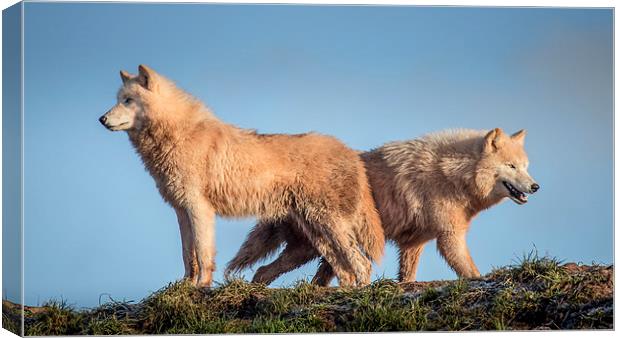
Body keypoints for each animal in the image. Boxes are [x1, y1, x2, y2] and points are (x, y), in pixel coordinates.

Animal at [98, 64, 382, 286]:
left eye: (128, 100)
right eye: (118, 99)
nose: (101, 119)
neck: (178, 135)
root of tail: (351, 153)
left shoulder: (199, 208)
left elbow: (203, 255)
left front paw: (201, 287)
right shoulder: (181, 210)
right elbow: (188, 255)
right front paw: (186, 287)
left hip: (328, 225)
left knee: (361, 264)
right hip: (316, 231)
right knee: (344, 270)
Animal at [226, 128, 536, 284]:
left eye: (525, 167)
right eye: (511, 166)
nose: (535, 187)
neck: (450, 174)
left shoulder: (414, 244)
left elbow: (407, 278)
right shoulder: (450, 238)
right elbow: (471, 272)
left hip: (311, 250)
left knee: (267, 272)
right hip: (318, 244)